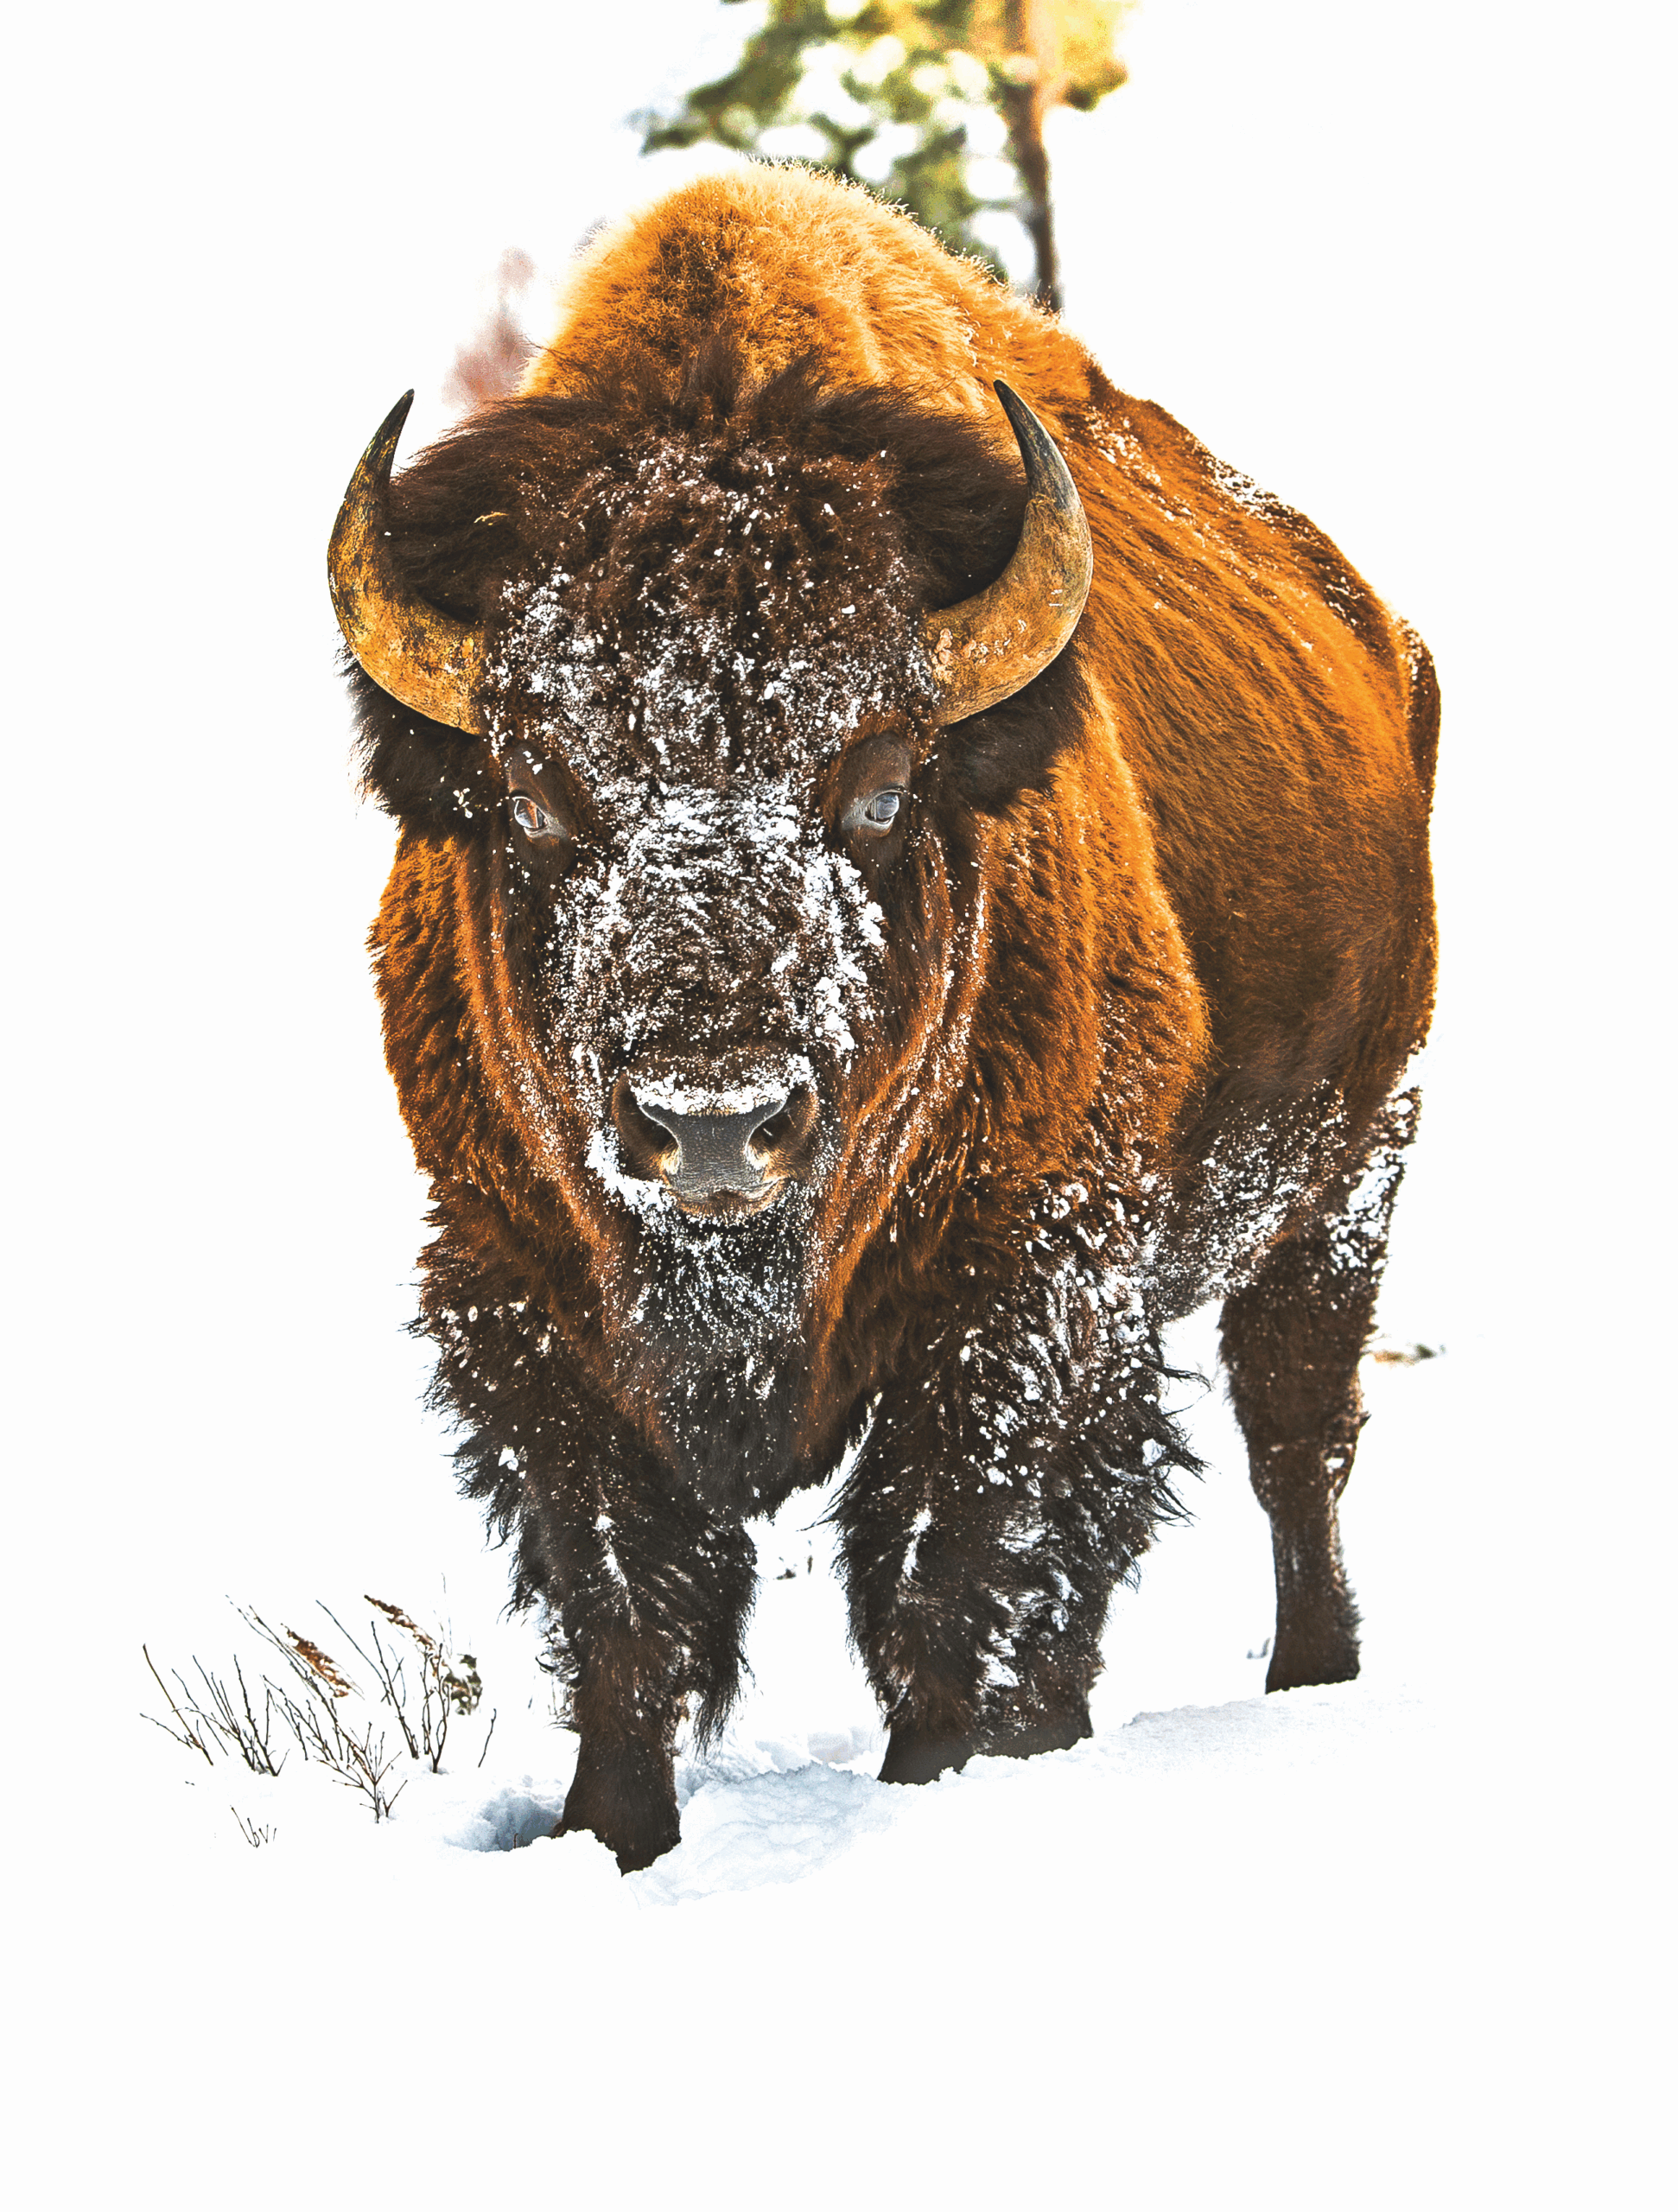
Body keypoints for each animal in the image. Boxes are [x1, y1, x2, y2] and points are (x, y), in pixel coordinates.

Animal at [330, 168, 1437, 1870]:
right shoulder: (521, 1295)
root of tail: (1374, 628)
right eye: (532, 788)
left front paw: (948, 1782)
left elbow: (951, 1572)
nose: (714, 1117)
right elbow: (624, 1609)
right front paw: (612, 1838)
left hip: (1346, 1176)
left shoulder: (1025, 1288)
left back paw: (1311, 1675)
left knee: (1292, 1439)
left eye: (880, 779)